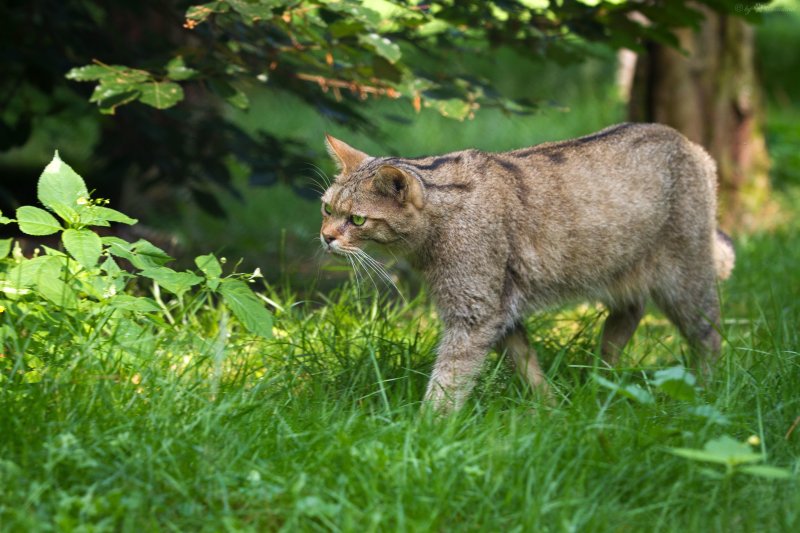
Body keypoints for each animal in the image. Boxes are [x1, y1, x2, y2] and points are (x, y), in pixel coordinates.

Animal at [318, 123, 736, 412]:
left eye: (356, 219)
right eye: (327, 208)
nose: (325, 237)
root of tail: (690, 144)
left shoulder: (475, 311)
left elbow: (449, 380)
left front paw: (426, 431)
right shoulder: (501, 308)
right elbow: (525, 361)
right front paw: (549, 408)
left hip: (686, 280)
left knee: (710, 335)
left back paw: (708, 391)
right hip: (622, 274)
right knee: (626, 319)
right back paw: (600, 383)